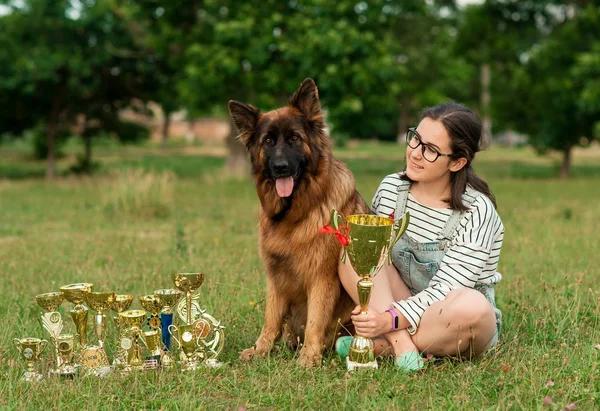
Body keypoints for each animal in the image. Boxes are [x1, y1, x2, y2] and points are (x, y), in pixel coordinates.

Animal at [229, 79, 370, 368]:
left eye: (295, 138)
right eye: (268, 141)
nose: (280, 167)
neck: (295, 214)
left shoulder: (322, 277)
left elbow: (315, 319)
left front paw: (308, 356)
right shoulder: (276, 276)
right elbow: (271, 318)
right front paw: (260, 350)